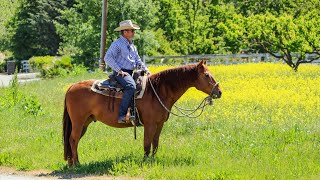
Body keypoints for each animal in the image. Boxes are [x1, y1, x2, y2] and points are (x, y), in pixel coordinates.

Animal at [63, 60, 222, 166]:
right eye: (206, 75)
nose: (219, 92)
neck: (157, 91)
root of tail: (72, 86)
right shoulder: (149, 124)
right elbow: (146, 143)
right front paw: (145, 161)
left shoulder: (159, 124)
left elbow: (155, 142)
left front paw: (153, 160)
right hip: (78, 122)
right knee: (73, 139)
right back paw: (76, 164)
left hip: (85, 122)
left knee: (73, 140)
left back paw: (71, 163)